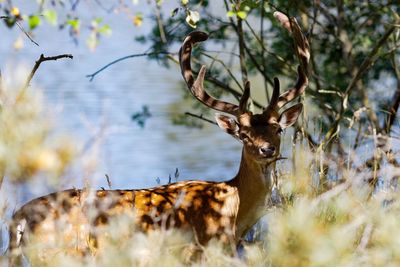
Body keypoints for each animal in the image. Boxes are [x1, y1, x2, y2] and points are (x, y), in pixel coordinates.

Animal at [7, 11, 310, 264]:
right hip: (60, 253)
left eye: (278, 128)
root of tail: (18, 218)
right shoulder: (195, 253)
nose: (267, 149)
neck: (232, 213)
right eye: (244, 134)